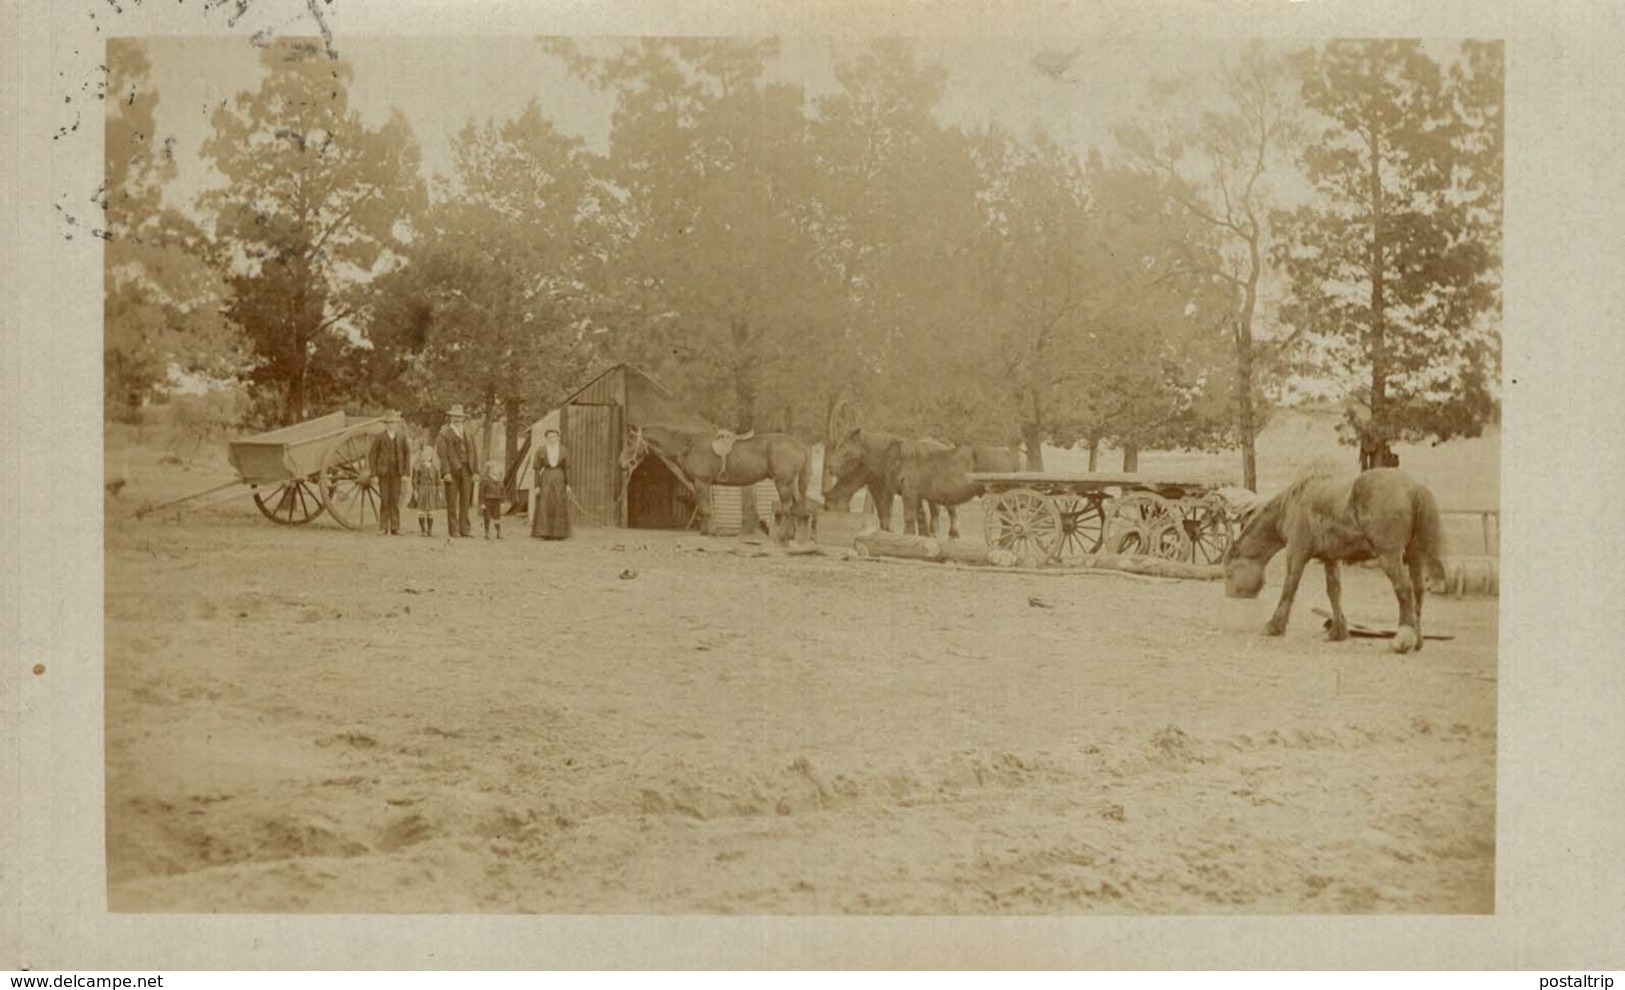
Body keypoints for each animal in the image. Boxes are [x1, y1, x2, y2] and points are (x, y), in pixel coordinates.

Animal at [614, 419, 812, 539]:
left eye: (630, 441)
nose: (621, 463)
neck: (689, 445)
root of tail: (800, 445)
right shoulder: (706, 484)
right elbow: (707, 508)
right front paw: (710, 531)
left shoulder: (701, 482)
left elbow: (704, 509)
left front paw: (706, 533)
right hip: (791, 484)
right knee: (795, 506)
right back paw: (792, 535)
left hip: (783, 483)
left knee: (787, 508)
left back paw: (783, 536)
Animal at [1222, 468, 1449, 653]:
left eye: (1229, 573)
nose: (1230, 595)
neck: (1294, 504)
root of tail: (1414, 488)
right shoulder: (1330, 559)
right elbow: (1334, 591)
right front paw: (1338, 632)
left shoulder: (1296, 555)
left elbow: (1289, 589)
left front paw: (1273, 626)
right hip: (1415, 556)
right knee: (1418, 591)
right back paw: (1417, 640)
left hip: (1390, 557)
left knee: (1404, 589)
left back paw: (1401, 640)